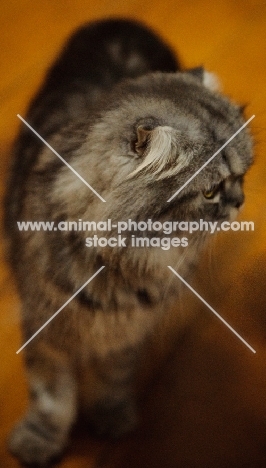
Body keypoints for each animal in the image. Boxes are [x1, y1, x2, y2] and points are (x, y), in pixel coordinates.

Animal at [4, 17, 254, 464]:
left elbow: (113, 376)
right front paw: (40, 440)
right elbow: (51, 396)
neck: (118, 264)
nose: (239, 202)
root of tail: (122, 19)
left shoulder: (127, 332)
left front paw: (110, 417)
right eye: (210, 192)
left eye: (242, 176)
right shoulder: (45, 324)